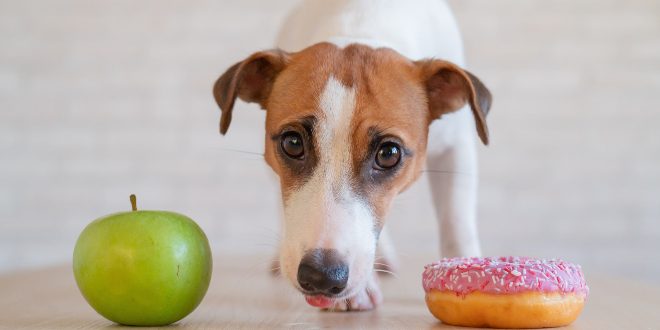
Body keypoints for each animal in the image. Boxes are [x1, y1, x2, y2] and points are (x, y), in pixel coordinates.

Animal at [211, 0, 490, 310]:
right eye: (292, 143)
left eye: (389, 153)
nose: (320, 275)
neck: (362, 20)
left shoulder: (456, 146)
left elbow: (457, 220)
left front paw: (467, 272)